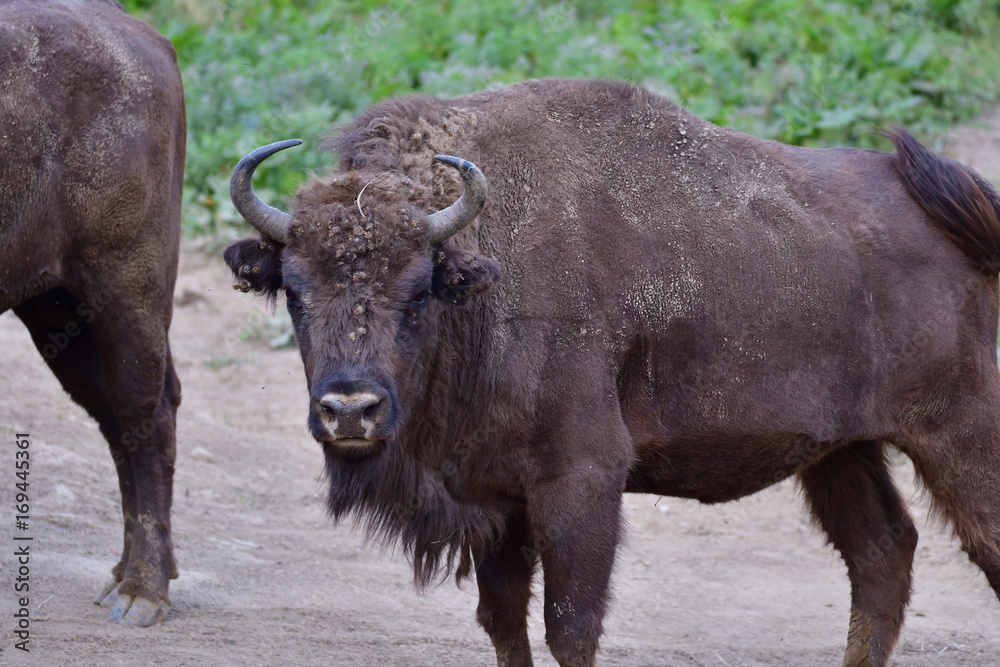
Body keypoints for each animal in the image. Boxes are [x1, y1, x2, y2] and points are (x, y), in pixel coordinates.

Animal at [0, 0, 186, 628]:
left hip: (127, 289)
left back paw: (144, 590)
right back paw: (127, 574)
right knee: (117, 418)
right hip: (56, 308)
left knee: (145, 415)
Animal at [225, 79, 1000, 667]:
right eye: (293, 291)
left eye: (418, 291)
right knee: (881, 553)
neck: (482, 270)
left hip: (957, 431)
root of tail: (952, 213)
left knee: (971, 544)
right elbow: (503, 620)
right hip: (840, 451)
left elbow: (571, 625)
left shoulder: (580, 482)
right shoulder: (497, 501)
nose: (349, 410)